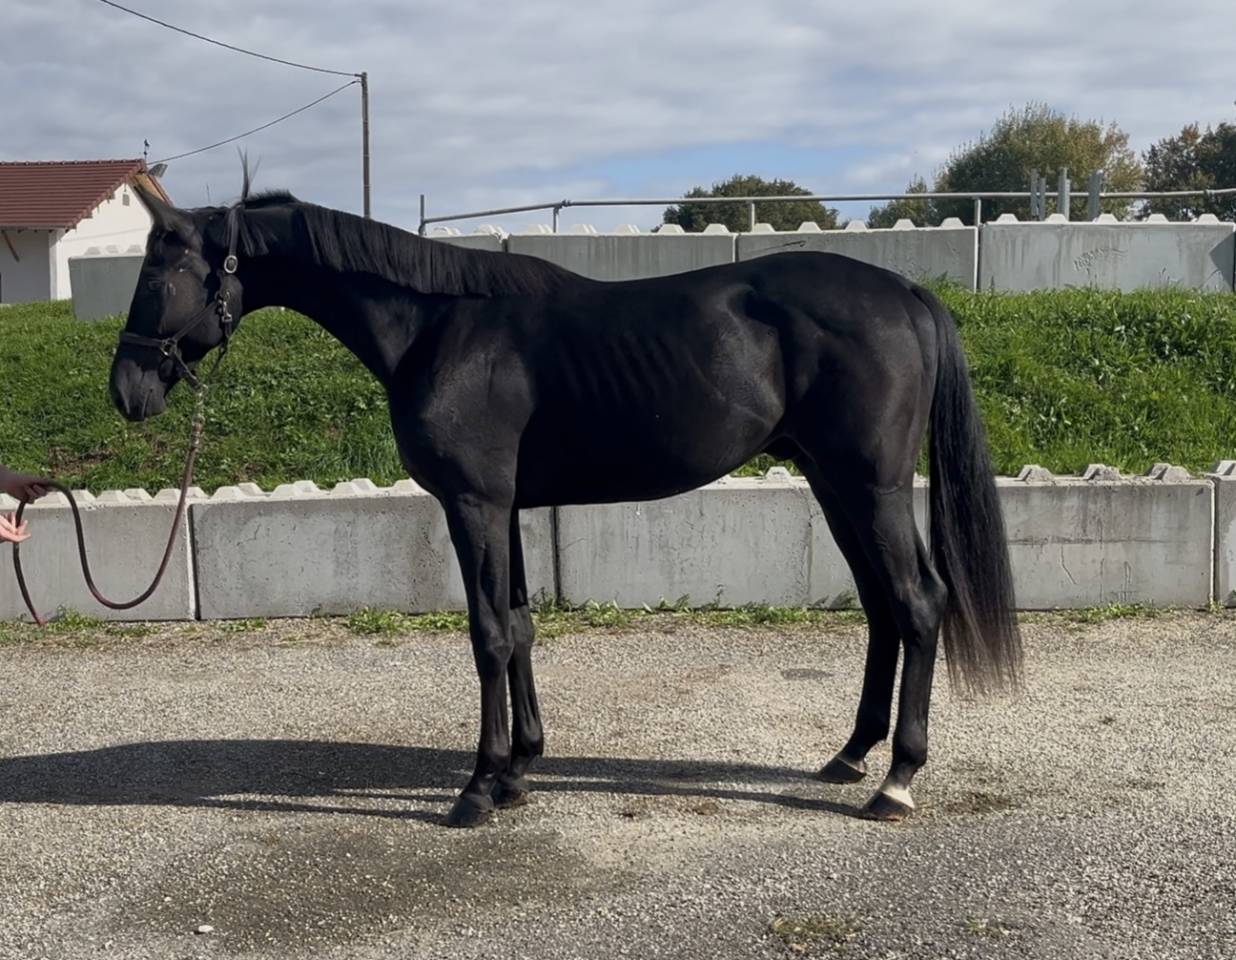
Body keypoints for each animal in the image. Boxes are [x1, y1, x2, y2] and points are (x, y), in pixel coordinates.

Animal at [109, 175, 1022, 827]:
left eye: (158, 273)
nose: (126, 390)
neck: (441, 326)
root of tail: (907, 295)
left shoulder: (473, 504)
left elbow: (487, 635)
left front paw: (479, 788)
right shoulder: (504, 508)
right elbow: (518, 626)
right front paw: (520, 767)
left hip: (869, 486)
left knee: (918, 602)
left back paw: (896, 780)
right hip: (835, 486)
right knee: (882, 607)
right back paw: (851, 754)